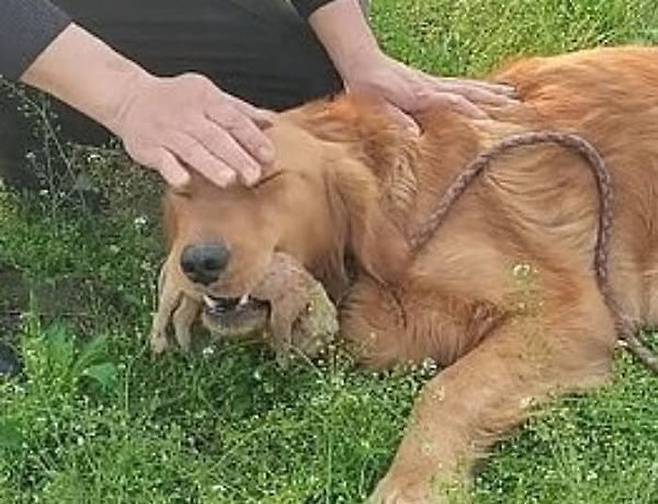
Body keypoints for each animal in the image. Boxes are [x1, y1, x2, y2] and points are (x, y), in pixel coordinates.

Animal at [153, 46, 658, 502]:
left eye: (264, 181)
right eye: (184, 193)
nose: (198, 262)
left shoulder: (569, 312)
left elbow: (446, 390)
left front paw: (412, 485)